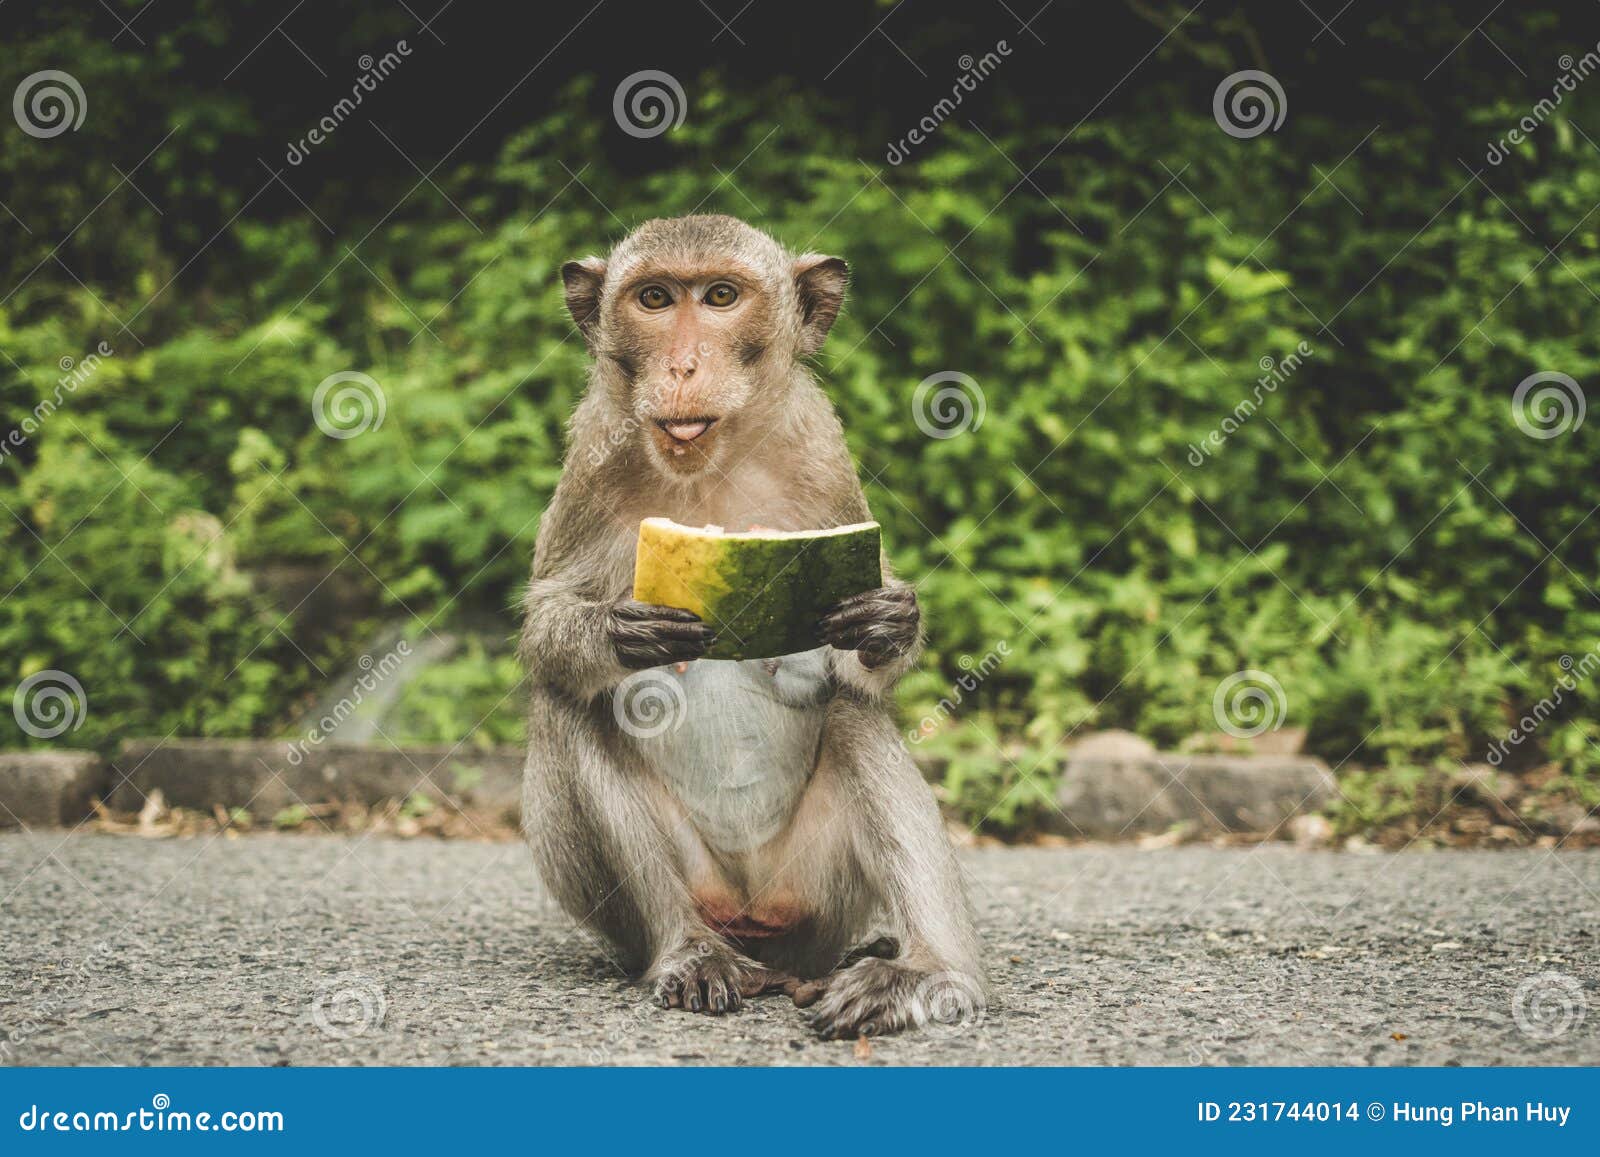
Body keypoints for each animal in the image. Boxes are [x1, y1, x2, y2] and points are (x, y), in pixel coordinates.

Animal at [518, 212, 985, 1036]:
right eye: (655, 298)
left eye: (721, 297)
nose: (682, 365)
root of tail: (759, 928)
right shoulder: (592, 455)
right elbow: (547, 620)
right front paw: (621, 633)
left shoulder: (823, 452)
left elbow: (858, 667)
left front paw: (888, 621)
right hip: (660, 903)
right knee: (569, 704)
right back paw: (689, 950)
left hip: (818, 895)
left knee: (854, 715)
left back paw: (924, 973)